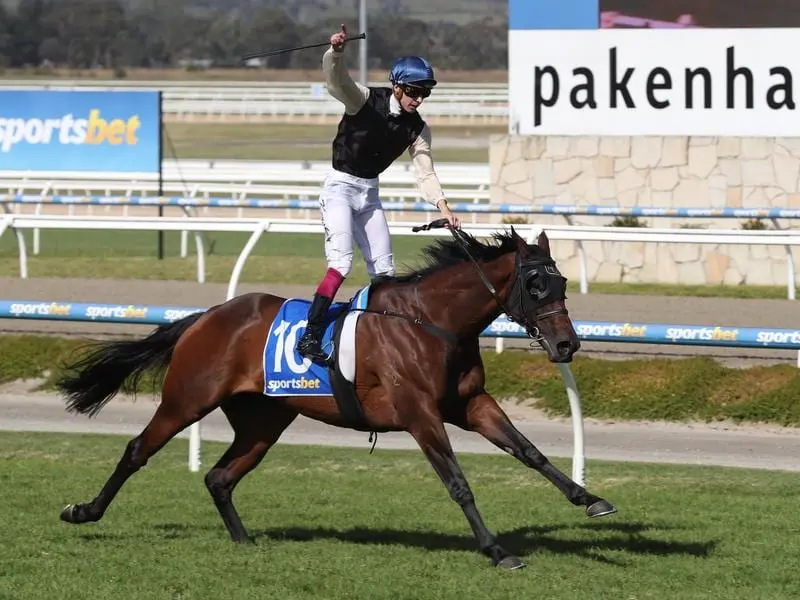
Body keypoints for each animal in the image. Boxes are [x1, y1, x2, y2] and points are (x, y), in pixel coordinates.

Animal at [56, 223, 616, 568]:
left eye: (562, 282)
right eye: (536, 284)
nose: (567, 344)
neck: (432, 322)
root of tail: (206, 316)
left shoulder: (470, 403)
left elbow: (529, 451)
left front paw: (589, 499)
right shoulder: (421, 414)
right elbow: (458, 483)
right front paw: (497, 551)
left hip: (263, 421)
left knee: (220, 477)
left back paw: (244, 540)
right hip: (186, 399)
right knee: (137, 451)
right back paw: (84, 511)